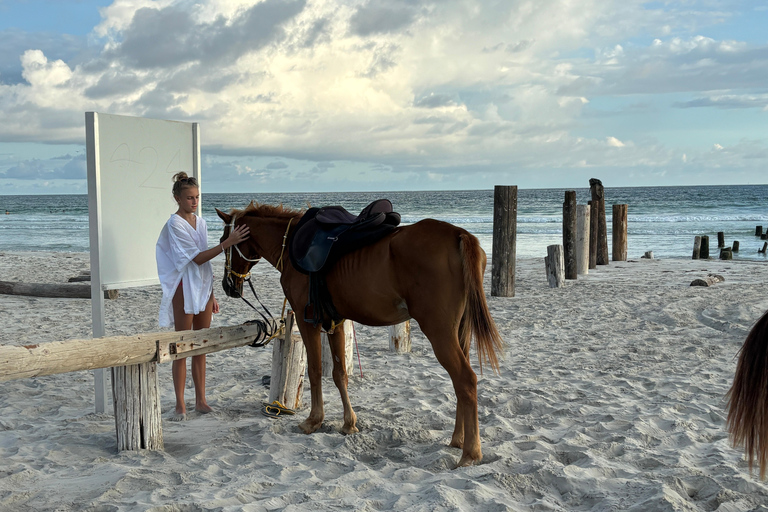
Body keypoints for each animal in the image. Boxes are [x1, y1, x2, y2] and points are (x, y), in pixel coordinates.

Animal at [216, 202, 504, 466]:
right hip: (459, 333)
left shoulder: (307, 321)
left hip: (439, 332)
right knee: (459, 385)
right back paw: (458, 439)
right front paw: (348, 423)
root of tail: (459, 234)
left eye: (223, 241)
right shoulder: (335, 322)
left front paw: (314, 420)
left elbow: (314, 371)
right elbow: (339, 373)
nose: (228, 286)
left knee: (466, 380)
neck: (291, 245)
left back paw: (470, 453)